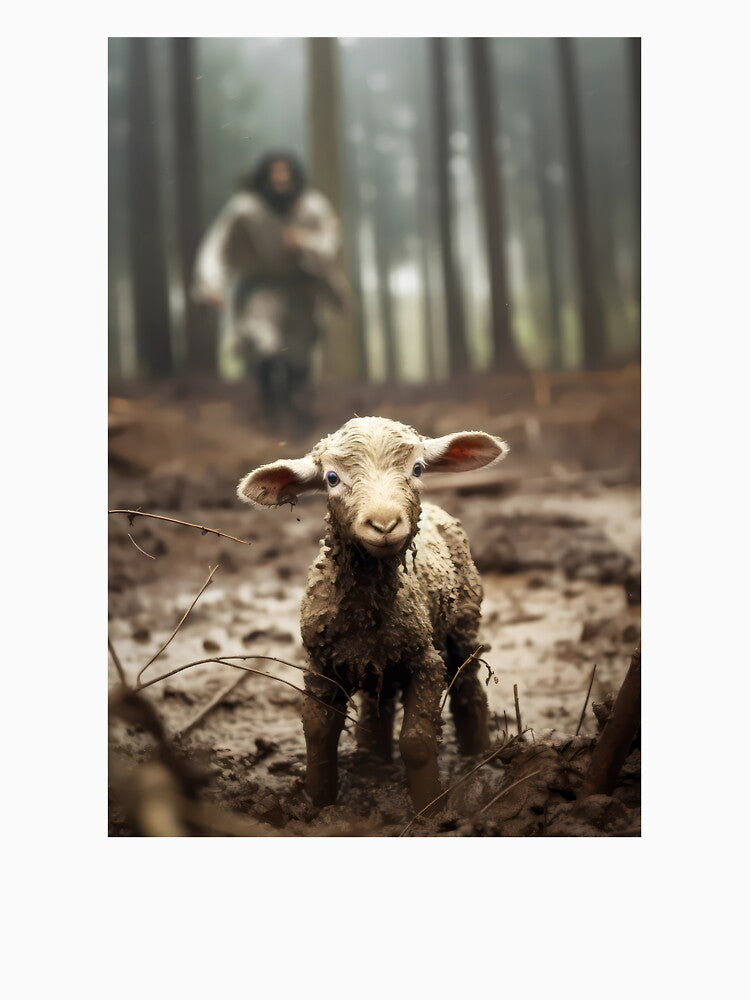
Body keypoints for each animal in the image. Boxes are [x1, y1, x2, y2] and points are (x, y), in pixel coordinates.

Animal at [237, 416, 508, 812]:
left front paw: (429, 809)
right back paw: (373, 757)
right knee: (379, 700)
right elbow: (317, 732)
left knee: (468, 685)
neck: (365, 613)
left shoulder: (425, 661)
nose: (384, 524)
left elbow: (416, 742)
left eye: (417, 468)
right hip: (379, 658)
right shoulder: (320, 663)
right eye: (332, 478)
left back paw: (479, 755)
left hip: (463, 622)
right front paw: (318, 802)